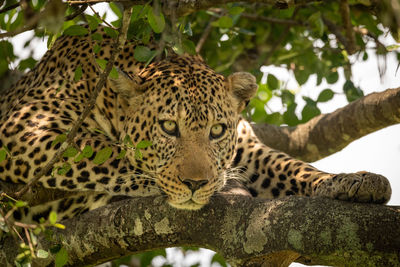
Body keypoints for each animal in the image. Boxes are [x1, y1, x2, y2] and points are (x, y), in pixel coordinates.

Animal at [0, 27, 392, 224]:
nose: (194, 184)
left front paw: (353, 180)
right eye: (168, 127)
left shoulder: (248, 150)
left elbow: (294, 166)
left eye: (217, 131)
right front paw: (164, 183)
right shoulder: (25, 125)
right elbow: (107, 153)